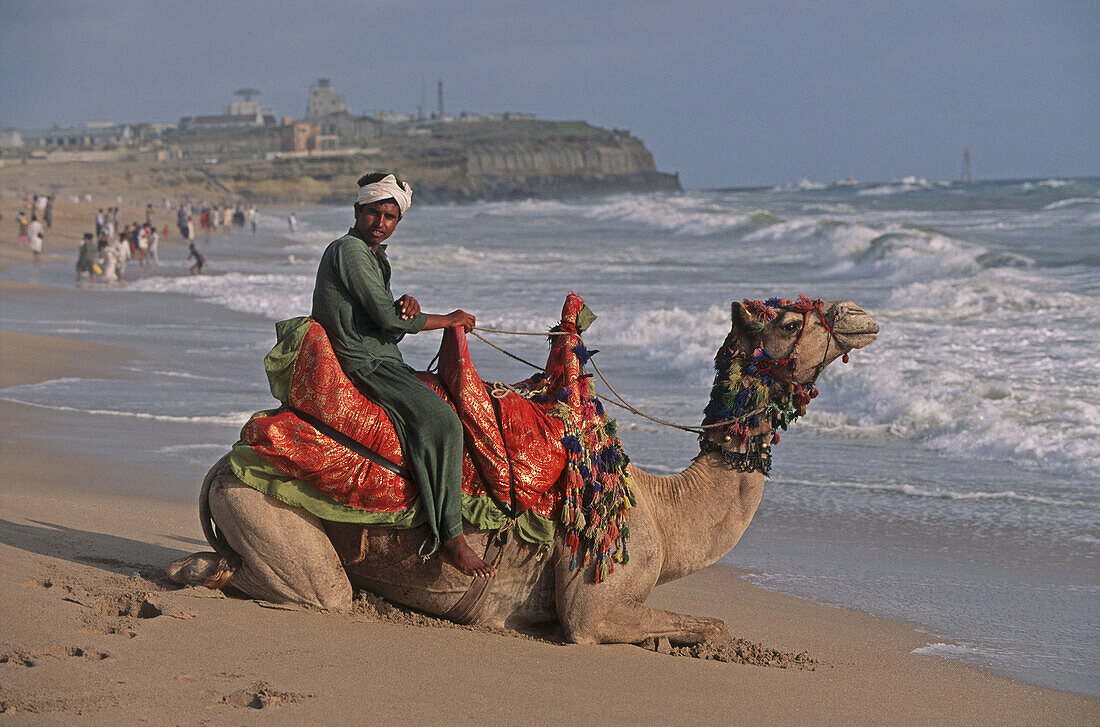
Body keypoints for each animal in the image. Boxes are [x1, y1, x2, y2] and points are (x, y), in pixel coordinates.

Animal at [167, 294, 880, 646]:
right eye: (788, 318)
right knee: (315, 591)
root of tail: (225, 461)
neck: (662, 509)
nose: (858, 316)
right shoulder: (595, 607)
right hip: (267, 511)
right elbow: (712, 623)